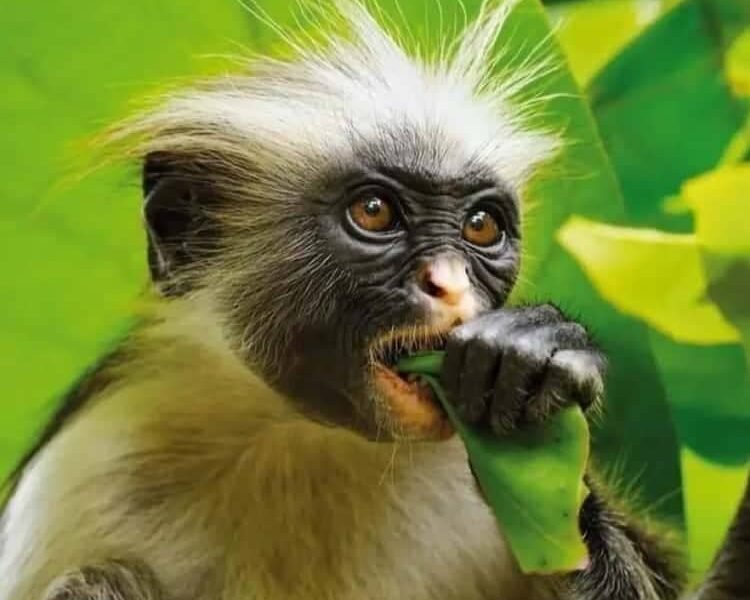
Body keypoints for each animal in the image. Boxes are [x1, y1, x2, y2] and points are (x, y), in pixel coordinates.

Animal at [0, 1, 747, 599]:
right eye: (375, 212)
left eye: (482, 226)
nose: (450, 284)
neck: (303, 435)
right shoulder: (84, 469)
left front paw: (533, 364)